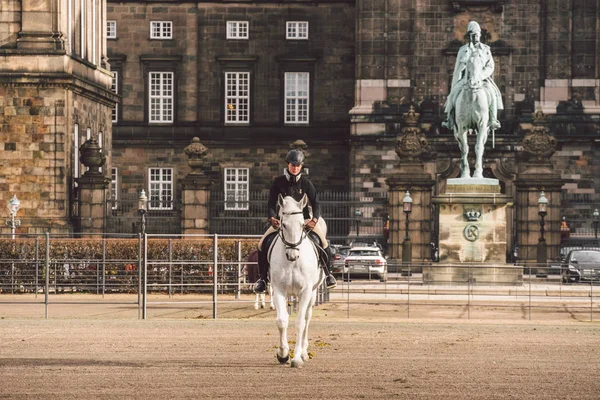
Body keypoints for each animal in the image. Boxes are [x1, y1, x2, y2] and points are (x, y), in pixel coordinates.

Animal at [270, 195, 326, 368]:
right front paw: (283, 354)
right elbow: (282, 321)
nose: (292, 255)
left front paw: (296, 358)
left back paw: (304, 352)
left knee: (307, 318)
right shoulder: (279, 290)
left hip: (312, 293)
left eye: (302, 224)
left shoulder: (306, 291)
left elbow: (300, 323)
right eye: (283, 224)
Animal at [458, 50, 490, 178]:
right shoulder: (462, 126)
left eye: (482, 65)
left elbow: (478, 147)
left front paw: (477, 172)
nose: (474, 82)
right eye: (468, 63)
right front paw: (465, 173)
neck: (472, 96)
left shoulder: (481, 124)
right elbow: (464, 148)